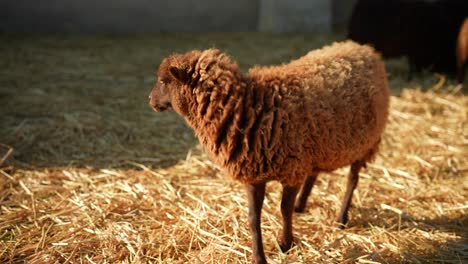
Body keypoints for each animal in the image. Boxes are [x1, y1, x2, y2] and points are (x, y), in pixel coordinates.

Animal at [148, 40, 390, 262]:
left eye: (163, 81)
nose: (150, 100)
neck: (247, 108)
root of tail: (363, 48)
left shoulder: (292, 170)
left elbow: (283, 209)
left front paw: (286, 243)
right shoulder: (253, 173)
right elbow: (253, 218)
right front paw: (259, 256)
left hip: (367, 143)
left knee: (352, 180)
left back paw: (341, 218)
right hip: (320, 145)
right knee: (315, 173)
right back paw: (302, 205)